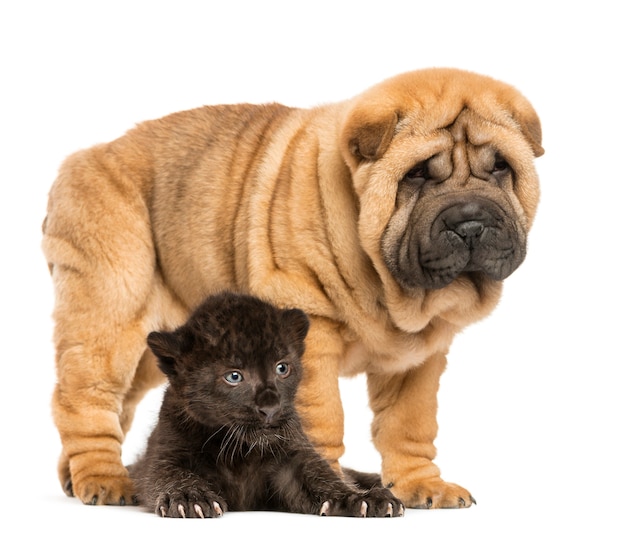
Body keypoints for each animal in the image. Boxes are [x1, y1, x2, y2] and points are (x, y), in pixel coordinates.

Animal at [42, 68, 540, 510]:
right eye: (417, 175)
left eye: (501, 168)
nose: (470, 222)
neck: (390, 285)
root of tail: (81, 158)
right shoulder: (312, 329)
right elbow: (322, 423)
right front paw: (339, 489)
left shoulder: (417, 360)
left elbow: (409, 425)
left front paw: (421, 487)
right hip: (109, 313)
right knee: (86, 401)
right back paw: (105, 480)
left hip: (154, 346)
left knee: (120, 404)